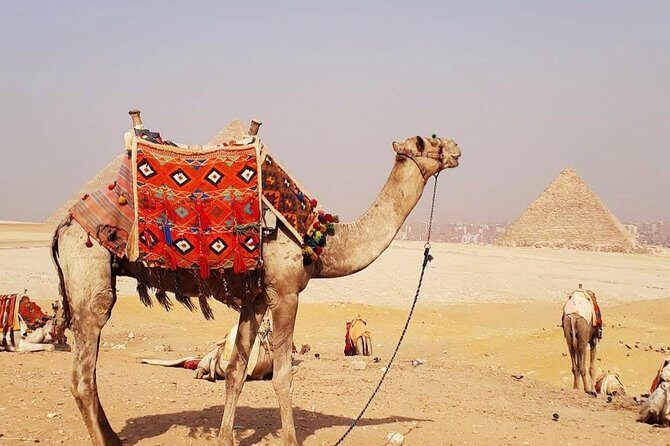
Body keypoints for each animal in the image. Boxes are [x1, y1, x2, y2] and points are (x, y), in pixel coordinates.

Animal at [51, 115, 461, 446]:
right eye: (429, 142)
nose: (457, 148)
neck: (319, 240)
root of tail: (64, 225)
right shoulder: (285, 292)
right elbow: (282, 375)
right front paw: (290, 441)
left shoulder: (255, 298)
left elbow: (236, 371)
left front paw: (226, 438)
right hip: (89, 272)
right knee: (82, 376)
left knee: (89, 372)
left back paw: (115, 437)